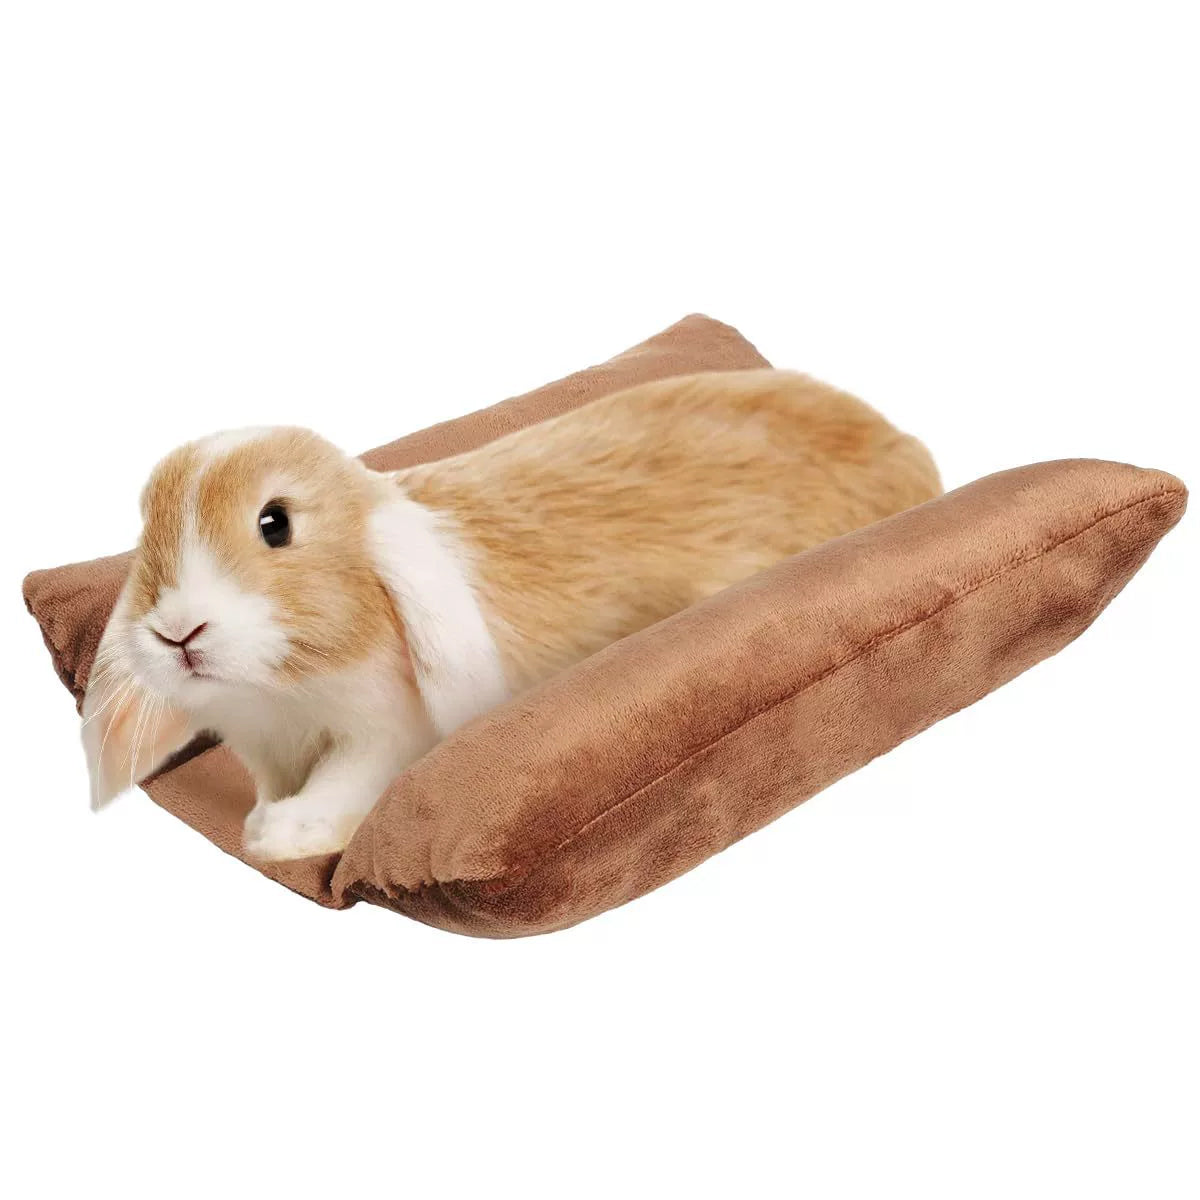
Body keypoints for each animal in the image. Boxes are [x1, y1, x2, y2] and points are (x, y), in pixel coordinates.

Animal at [82, 369, 940, 860]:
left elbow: (348, 781)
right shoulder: (265, 748)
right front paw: (264, 821)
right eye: (147, 522)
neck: (285, 691)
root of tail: (905, 442)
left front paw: (282, 837)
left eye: (276, 523)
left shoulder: (382, 734)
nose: (176, 631)